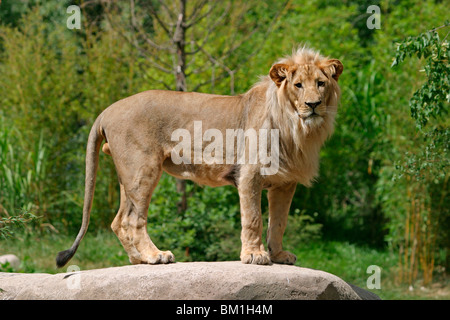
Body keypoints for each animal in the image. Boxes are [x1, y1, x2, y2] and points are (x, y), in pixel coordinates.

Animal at [57, 47, 344, 268]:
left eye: (320, 84)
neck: (297, 129)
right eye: (298, 86)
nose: (313, 105)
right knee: (132, 220)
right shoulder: (250, 174)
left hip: (127, 176)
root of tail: (107, 110)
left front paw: (279, 254)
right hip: (143, 169)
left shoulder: (285, 183)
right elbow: (254, 218)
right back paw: (155, 256)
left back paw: (138, 259)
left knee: (118, 221)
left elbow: (279, 221)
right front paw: (255, 255)